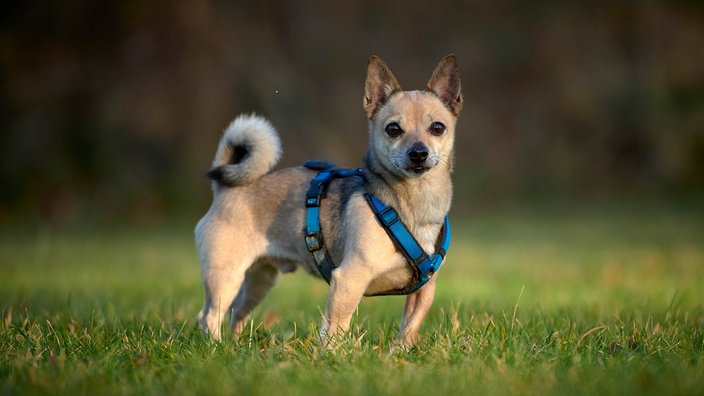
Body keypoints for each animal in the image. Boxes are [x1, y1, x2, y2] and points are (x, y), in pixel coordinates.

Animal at [197, 54, 462, 344]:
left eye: (437, 128)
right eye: (393, 129)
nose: (418, 153)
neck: (413, 202)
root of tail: (225, 188)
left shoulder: (423, 292)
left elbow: (410, 327)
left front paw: (400, 351)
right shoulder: (349, 280)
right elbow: (336, 326)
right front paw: (335, 352)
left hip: (259, 280)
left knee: (235, 312)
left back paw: (234, 345)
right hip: (226, 276)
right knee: (209, 316)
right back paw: (215, 347)